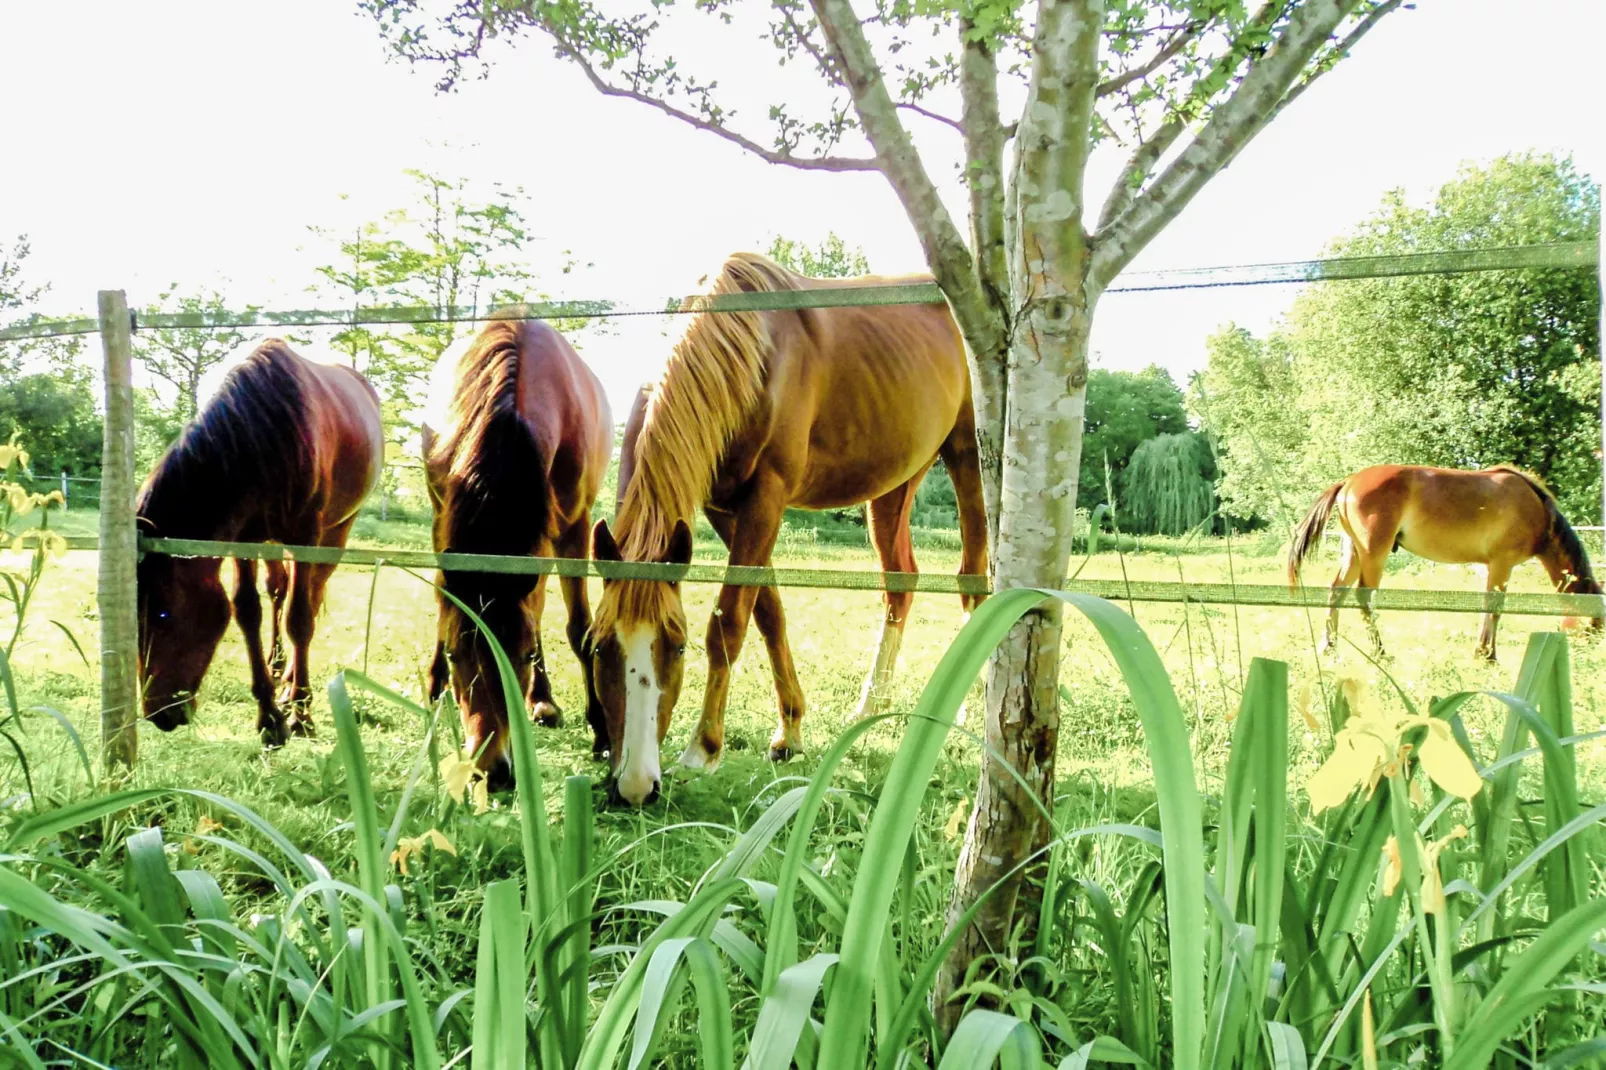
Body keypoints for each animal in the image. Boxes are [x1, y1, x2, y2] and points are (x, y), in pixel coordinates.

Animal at [133, 342, 380, 742]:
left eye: (162, 614)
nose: (159, 714)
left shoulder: (306, 535)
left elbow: (300, 618)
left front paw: (300, 713)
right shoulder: (244, 539)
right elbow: (247, 610)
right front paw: (268, 715)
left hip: (335, 532)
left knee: (310, 596)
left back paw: (293, 681)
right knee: (277, 589)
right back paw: (277, 665)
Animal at [417, 313, 610, 787]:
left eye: (522, 656)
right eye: (456, 654)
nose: (491, 770)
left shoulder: (575, 528)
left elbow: (579, 628)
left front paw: (601, 729)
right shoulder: (443, 516)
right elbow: (445, 603)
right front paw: (436, 679)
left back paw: (543, 701)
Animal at [594, 250, 989, 800]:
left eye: (677, 645)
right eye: (597, 647)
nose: (635, 785)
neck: (750, 354)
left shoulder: (766, 497)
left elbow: (729, 622)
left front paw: (702, 749)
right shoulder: (725, 509)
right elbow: (769, 613)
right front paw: (791, 731)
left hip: (968, 456)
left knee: (973, 578)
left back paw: (971, 705)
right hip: (895, 482)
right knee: (900, 581)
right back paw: (870, 706)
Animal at [1284, 459, 1599, 658]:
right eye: (1596, 622)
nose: (1591, 652)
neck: (1536, 509)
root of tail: (1348, 482)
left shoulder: (1491, 567)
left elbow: (1485, 607)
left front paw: (1482, 651)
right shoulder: (1502, 564)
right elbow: (1495, 609)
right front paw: (1488, 655)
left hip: (1354, 554)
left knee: (1336, 592)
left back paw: (1329, 647)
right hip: (1373, 553)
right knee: (1364, 597)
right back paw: (1381, 652)